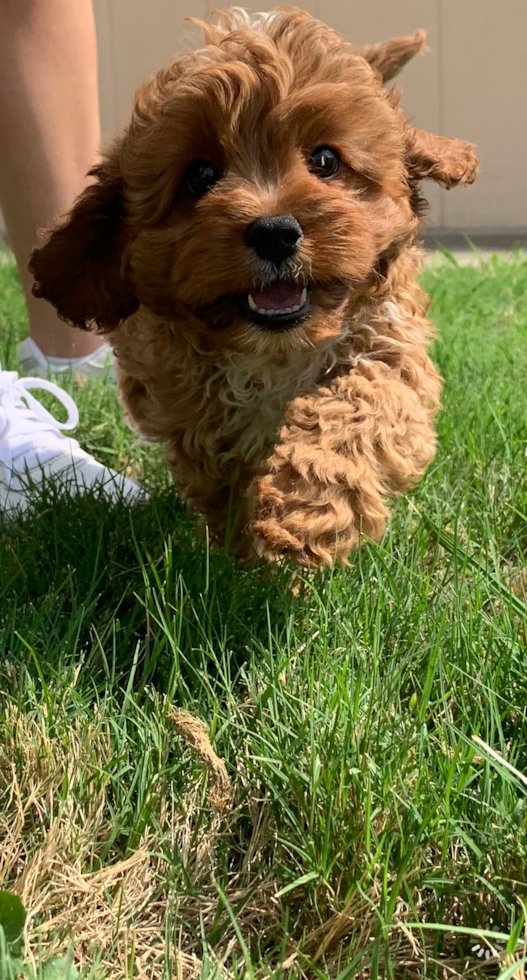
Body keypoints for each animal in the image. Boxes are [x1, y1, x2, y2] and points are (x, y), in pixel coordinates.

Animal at [29, 7, 478, 568]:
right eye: (199, 175)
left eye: (326, 160)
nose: (274, 232)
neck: (274, 352)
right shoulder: (189, 408)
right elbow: (220, 477)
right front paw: (240, 556)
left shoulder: (385, 343)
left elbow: (364, 405)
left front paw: (305, 510)